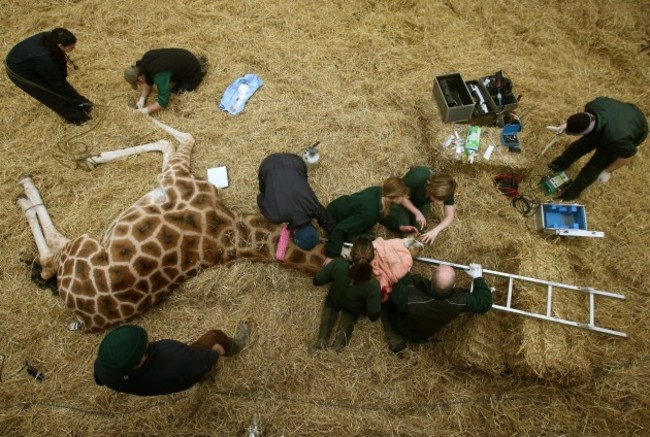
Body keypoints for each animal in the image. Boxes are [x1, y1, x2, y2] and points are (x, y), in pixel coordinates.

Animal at [17, 119, 326, 332]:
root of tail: (83, 318)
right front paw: (96, 155)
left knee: (50, 255)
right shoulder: (172, 182)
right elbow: (174, 141)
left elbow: (179, 140)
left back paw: (25, 190)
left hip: (81, 246)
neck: (236, 231)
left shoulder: (175, 180)